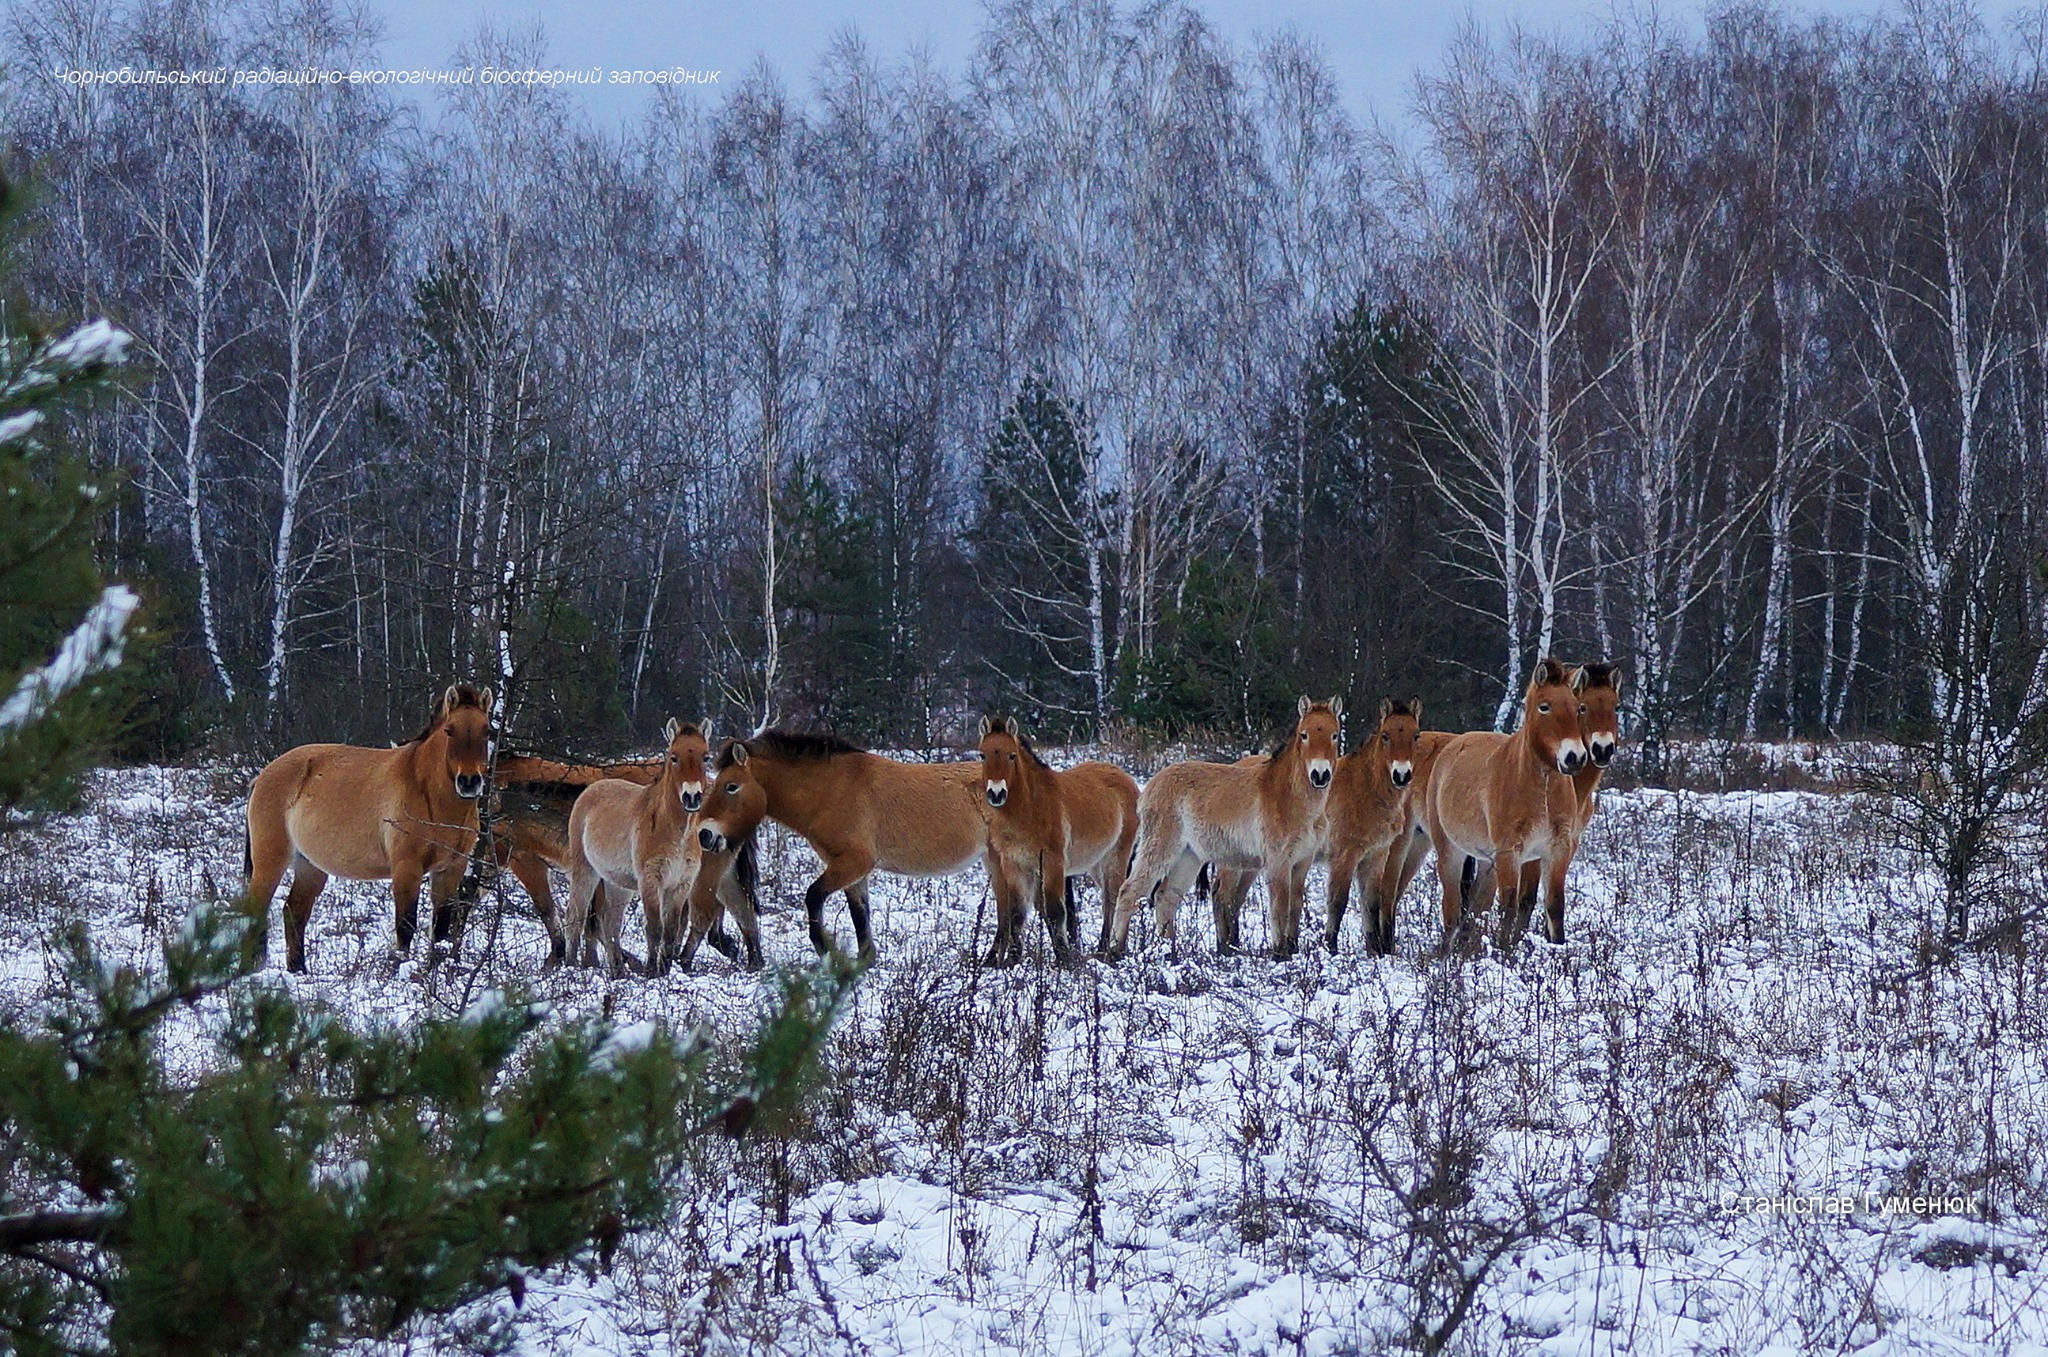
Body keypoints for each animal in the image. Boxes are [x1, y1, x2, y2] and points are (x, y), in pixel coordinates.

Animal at [238, 683, 491, 970]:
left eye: (486, 731)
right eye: (450, 730)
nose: (469, 782)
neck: (425, 790)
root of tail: (262, 776)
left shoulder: (451, 869)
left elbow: (440, 930)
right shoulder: (406, 868)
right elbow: (405, 927)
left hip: (310, 866)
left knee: (294, 913)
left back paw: (299, 972)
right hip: (270, 863)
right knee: (255, 912)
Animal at [745, 728, 991, 961]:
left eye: (735, 787)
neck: (831, 789)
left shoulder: (855, 862)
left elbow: (813, 896)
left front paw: (827, 950)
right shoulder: (851, 870)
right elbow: (860, 914)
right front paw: (864, 960)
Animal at [970, 720, 1138, 966]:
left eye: (1012, 756)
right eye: (982, 755)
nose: (996, 794)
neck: (1031, 806)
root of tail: (1128, 780)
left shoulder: (1053, 863)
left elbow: (1055, 911)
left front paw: (1064, 959)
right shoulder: (1014, 865)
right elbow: (1016, 912)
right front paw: (1012, 961)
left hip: (1117, 857)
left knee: (1115, 898)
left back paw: (1110, 952)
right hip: (1096, 863)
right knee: (1111, 899)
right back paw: (1108, 950)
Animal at [1105, 699, 1343, 966]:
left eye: (1335, 735)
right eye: (1304, 735)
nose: (1320, 775)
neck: (1288, 797)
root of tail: (1148, 788)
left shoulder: (1302, 862)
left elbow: (1296, 906)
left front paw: (1292, 950)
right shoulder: (1278, 862)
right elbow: (1280, 907)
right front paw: (1279, 955)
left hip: (1189, 857)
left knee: (1166, 898)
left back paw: (1170, 954)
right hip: (1161, 848)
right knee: (1129, 891)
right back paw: (1115, 952)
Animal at [1433, 659, 1589, 953]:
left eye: (1578, 708)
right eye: (1544, 706)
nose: (1575, 757)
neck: (1543, 788)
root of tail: (1453, 745)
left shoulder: (1556, 851)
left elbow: (1553, 907)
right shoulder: (1509, 853)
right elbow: (1508, 908)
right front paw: (1506, 954)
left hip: (1487, 862)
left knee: (1474, 906)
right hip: (1451, 852)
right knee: (1451, 908)